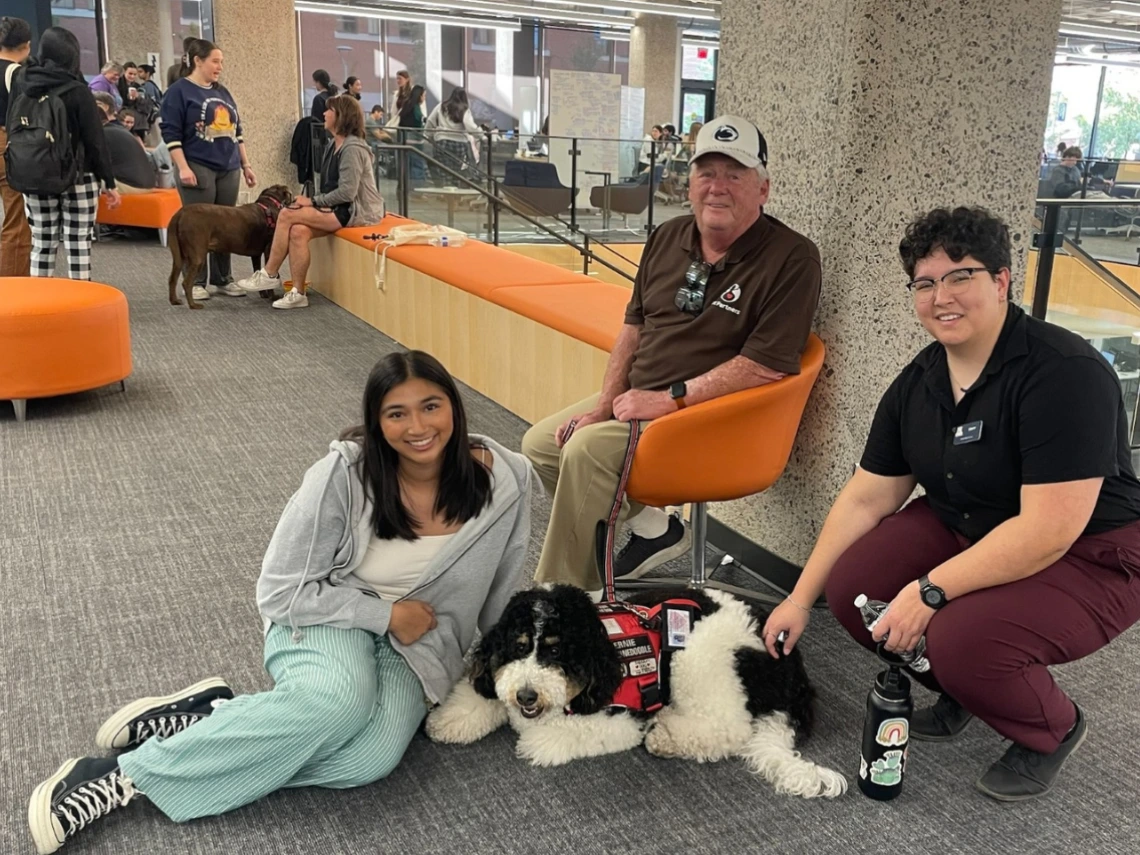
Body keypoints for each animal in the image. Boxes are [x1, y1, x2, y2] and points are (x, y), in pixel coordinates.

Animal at [168, 182, 296, 310]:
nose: (295, 199)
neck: (269, 204)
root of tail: (180, 214)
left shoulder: (256, 255)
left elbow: (258, 270)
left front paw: (263, 293)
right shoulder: (270, 250)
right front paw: (272, 296)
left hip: (179, 256)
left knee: (172, 278)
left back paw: (174, 301)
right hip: (198, 256)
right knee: (186, 282)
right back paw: (193, 305)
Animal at [426, 588, 848, 802]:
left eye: (556, 652)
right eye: (518, 647)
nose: (527, 696)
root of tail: (791, 668)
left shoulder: (622, 716)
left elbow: (558, 734)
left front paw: (538, 738)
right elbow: (482, 694)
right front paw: (451, 719)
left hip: (698, 659)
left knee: (732, 728)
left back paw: (668, 735)